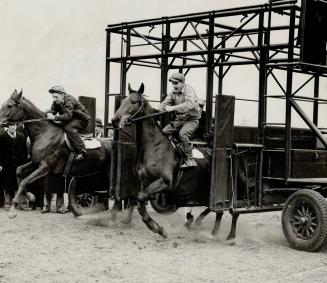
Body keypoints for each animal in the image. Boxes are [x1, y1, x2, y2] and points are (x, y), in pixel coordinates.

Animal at [0, 90, 113, 219]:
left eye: (9, 106)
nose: (0, 122)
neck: (44, 133)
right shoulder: (36, 163)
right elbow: (19, 171)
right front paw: (28, 197)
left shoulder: (45, 167)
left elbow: (25, 181)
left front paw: (13, 207)